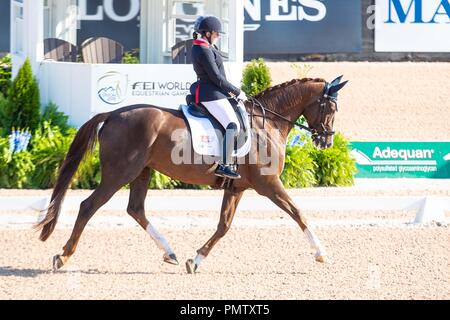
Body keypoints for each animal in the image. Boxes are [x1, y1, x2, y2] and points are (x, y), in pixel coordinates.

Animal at [37, 75, 350, 272]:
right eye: (331, 107)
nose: (326, 141)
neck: (268, 122)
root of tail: (113, 114)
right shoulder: (268, 184)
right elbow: (298, 213)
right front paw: (321, 253)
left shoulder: (236, 188)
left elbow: (224, 226)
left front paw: (196, 260)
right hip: (119, 173)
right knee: (88, 206)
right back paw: (63, 256)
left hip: (142, 172)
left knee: (136, 209)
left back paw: (170, 253)